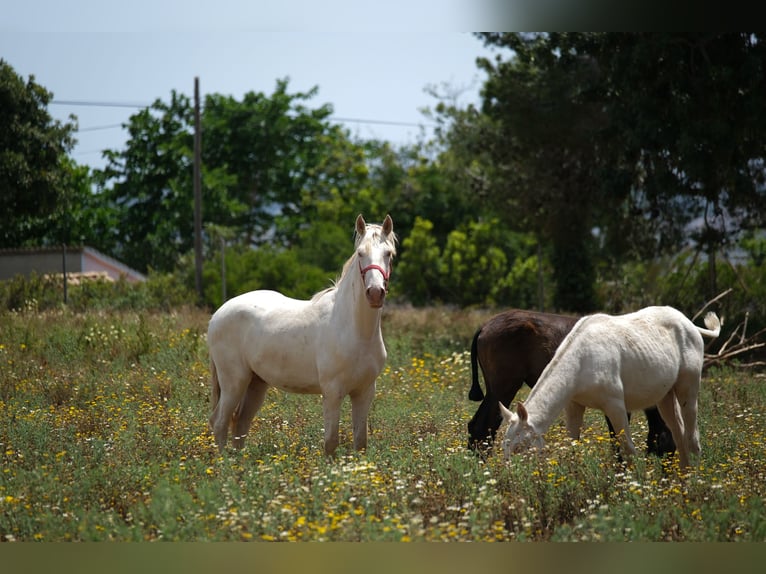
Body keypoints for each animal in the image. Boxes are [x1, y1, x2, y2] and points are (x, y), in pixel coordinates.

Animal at [207, 214, 400, 456]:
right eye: (360, 253)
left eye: (388, 254)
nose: (375, 293)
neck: (356, 331)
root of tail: (217, 315)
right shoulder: (332, 393)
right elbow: (330, 443)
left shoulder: (364, 392)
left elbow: (361, 443)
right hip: (233, 382)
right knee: (220, 423)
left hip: (256, 383)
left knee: (240, 424)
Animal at [500, 308, 724, 470]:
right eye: (504, 446)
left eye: (520, 447)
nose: (512, 475)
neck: (582, 361)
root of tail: (690, 325)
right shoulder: (574, 406)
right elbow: (573, 447)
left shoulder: (615, 406)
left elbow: (628, 450)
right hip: (665, 397)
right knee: (679, 436)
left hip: (688, 388)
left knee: (692, 438)